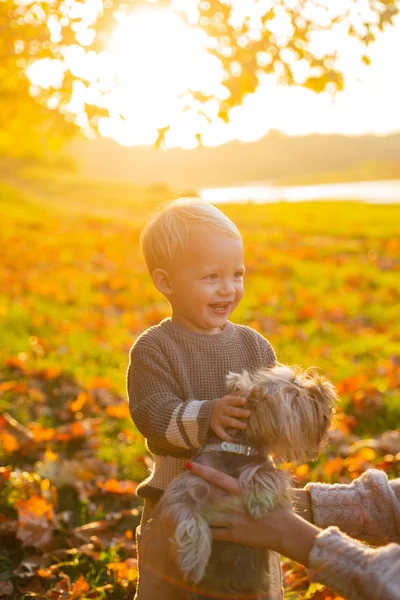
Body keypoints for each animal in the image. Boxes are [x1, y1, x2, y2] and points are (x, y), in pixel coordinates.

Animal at [139, 364, 336, 596]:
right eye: (295, 387)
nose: (322, 387)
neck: (237, 450)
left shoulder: (272, 477)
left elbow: (269, 474)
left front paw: (258, 500)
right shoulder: (182, 493)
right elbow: (186, 517)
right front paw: (192, 561)